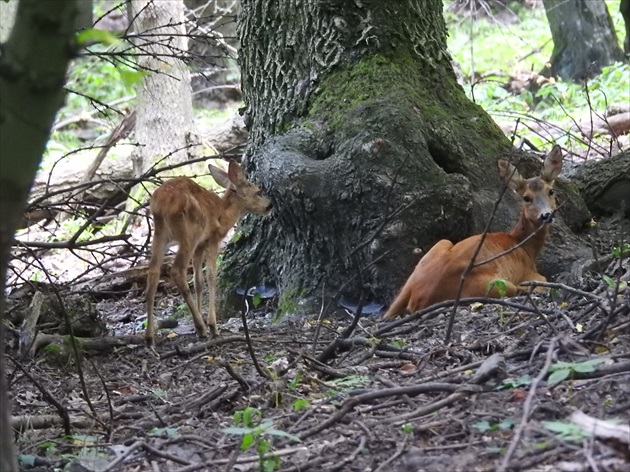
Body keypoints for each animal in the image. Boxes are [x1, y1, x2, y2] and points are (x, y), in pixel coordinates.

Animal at [146, 160, 274, 348]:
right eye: (259, 191)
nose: (270, 205)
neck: (224, 215)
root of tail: (161, 202)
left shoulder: (200, 245)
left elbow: (198, 281)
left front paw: (198, 321)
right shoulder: (213, 238)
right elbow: (212, 276)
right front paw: (212, 325)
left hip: (160, 233)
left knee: (153, 272)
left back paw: (149, 337)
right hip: (190, 232)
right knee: (177, 270)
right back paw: (202, 327)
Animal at [386, 146, 568, 318]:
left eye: (551, 191)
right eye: (526, 198)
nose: (546, 215)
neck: (523, 245)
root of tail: (419, 300)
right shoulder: (531, 273)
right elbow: (542, 280)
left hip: (439, 245)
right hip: (493, 285)